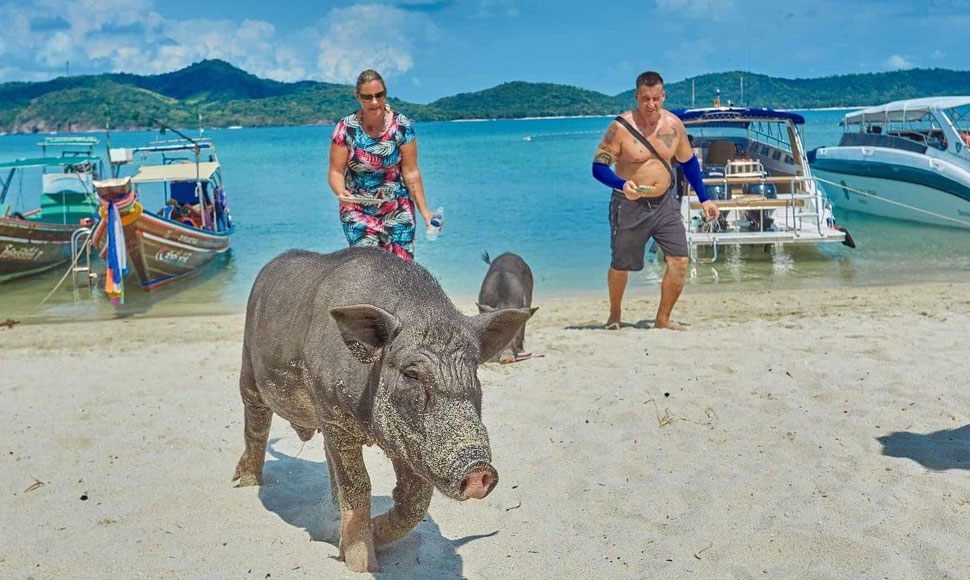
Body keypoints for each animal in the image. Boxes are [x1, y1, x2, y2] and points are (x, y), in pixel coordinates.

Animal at [232, 247, 532, 573]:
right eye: (411, 374)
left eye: (474, 371)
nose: (479, 470)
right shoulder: (334, 414)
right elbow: (358, 485)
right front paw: (360, 564)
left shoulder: (409, 443)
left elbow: (413, 502)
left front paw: (366, 538)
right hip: (249, 366)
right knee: (255, 423)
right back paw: (245, 482)